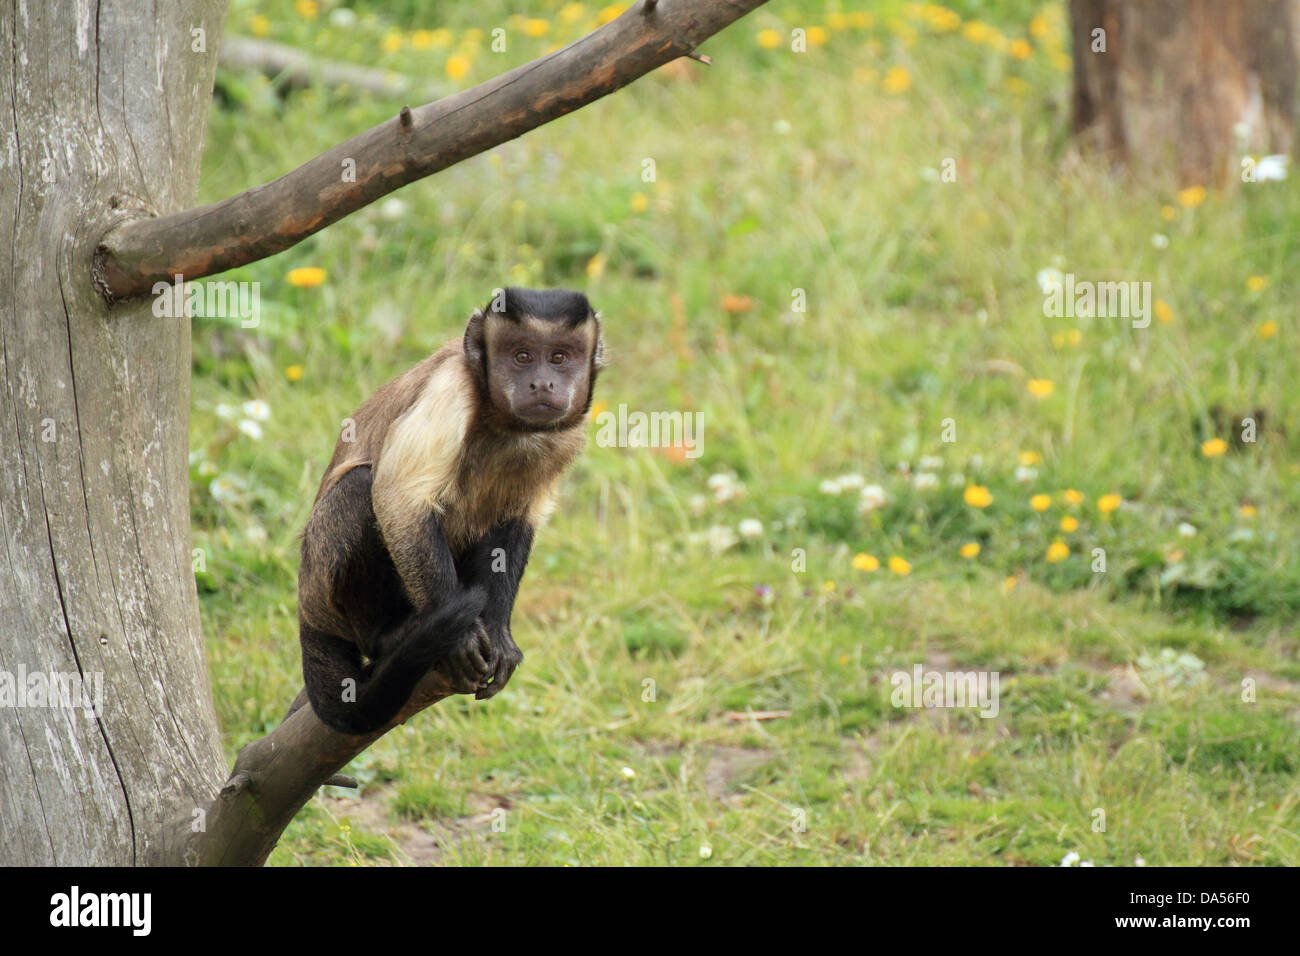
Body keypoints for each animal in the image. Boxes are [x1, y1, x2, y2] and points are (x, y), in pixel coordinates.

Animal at [289, 287, 603, 738]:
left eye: (560, 357)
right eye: (521, 356)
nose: (543, 381)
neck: (505, 425)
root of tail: (306, 610)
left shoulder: (565, 437)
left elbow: (519, 520)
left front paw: (498, 633)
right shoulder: (451, 387)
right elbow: (400, 498)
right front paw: (461, 640)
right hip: (324, 589)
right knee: (358, 488)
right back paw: (389, 636)